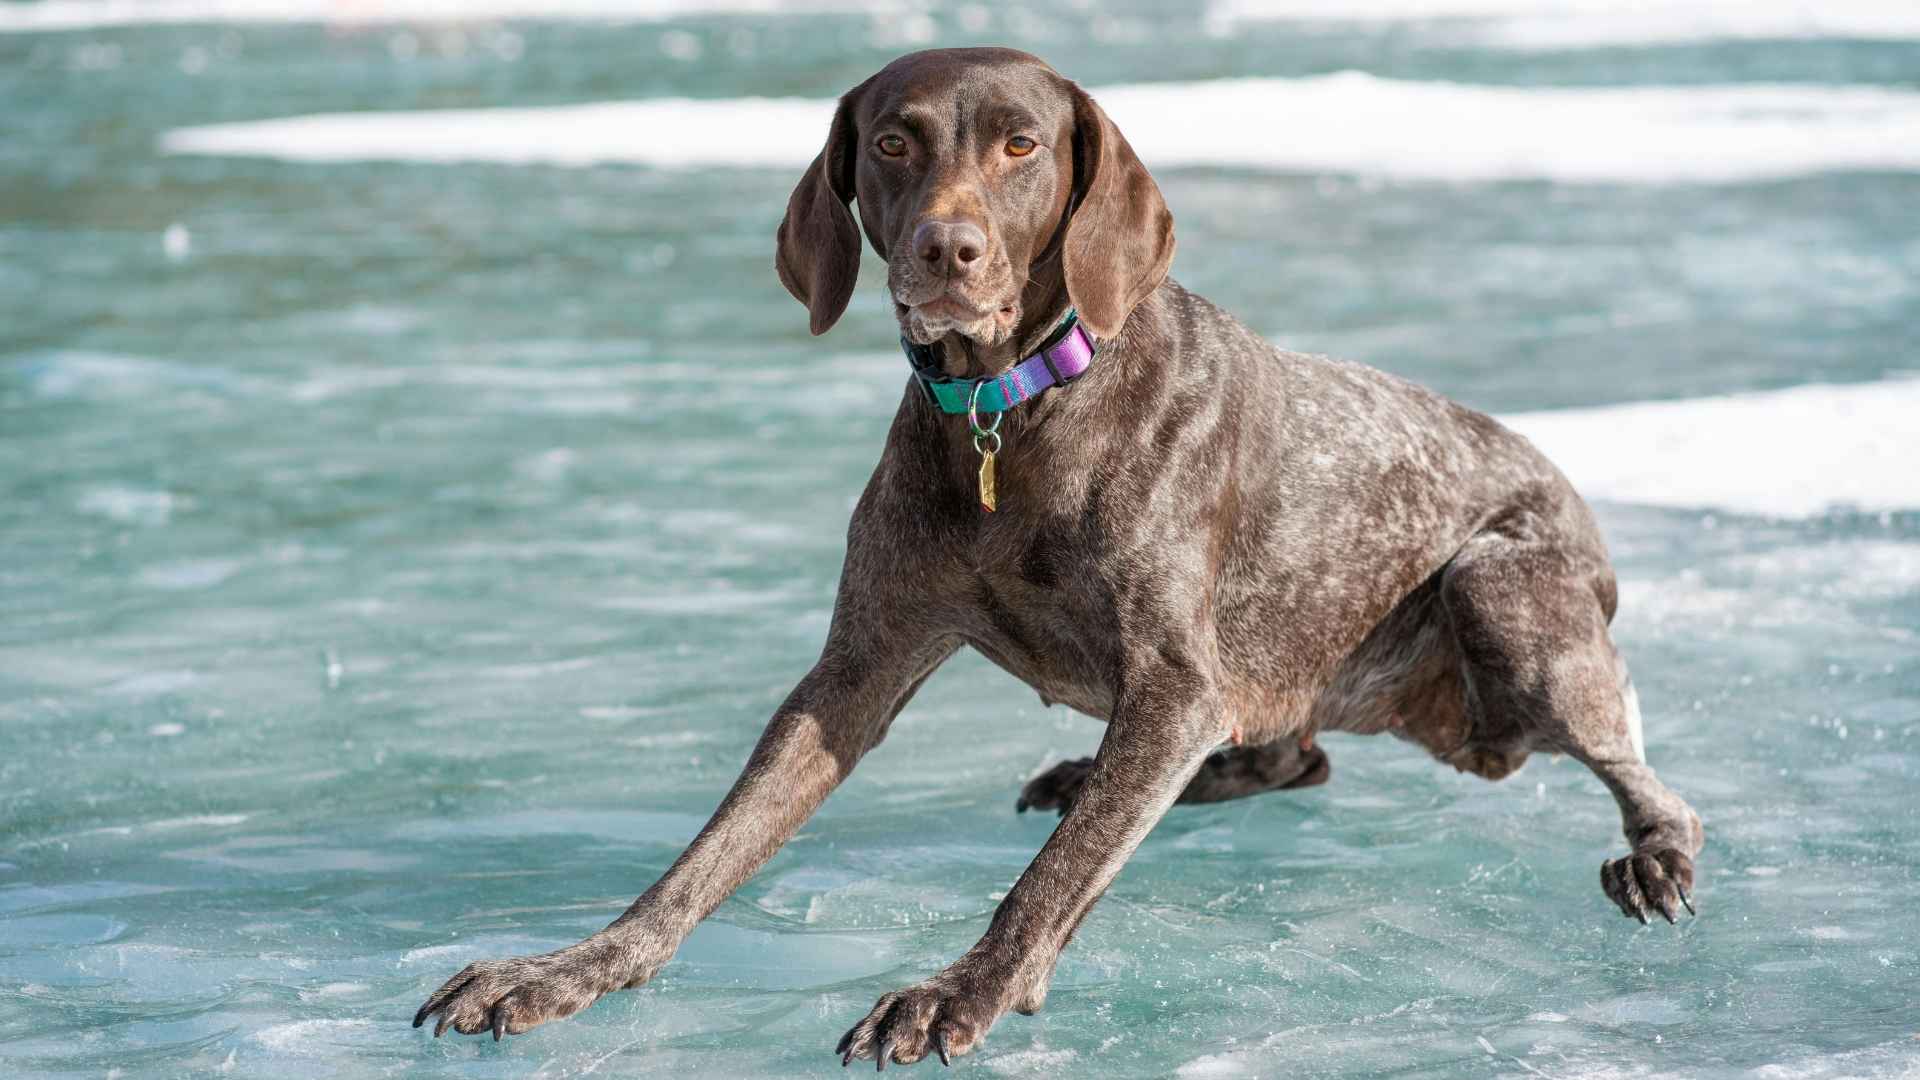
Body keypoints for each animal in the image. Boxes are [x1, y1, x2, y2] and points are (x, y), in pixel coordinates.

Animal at [412, 48, 1704, 1060]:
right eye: (894, 141)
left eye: (1023, 145)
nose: (948, 251)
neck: (1009, 407)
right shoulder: (852, 672)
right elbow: (705, 858)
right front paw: (572, 967)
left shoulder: (1176, 684)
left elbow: (1050, 882)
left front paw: (957, 992)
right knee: (1288, 758)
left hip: (1504, 598)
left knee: (1655, 786)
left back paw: (1650, 858)